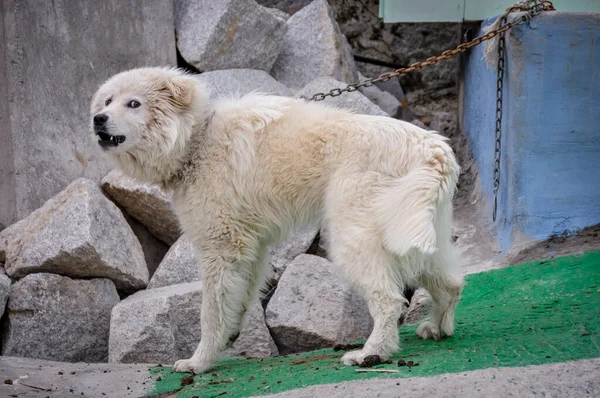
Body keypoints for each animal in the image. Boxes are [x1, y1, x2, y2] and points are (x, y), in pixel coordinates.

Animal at [90, 66, 464, 374]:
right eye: (108, 100)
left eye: (134, 103)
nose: (98, 119)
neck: (197, 140)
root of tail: (433, 148)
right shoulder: (250, 246)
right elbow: (239, 297)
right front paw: (231, 335)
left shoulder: (220, 246)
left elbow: (210, 311)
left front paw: (199, 362)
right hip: (414, 231)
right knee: (451, 284)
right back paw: (437, 327)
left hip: (354, 236)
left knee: (388, 299)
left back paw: (371, 353)